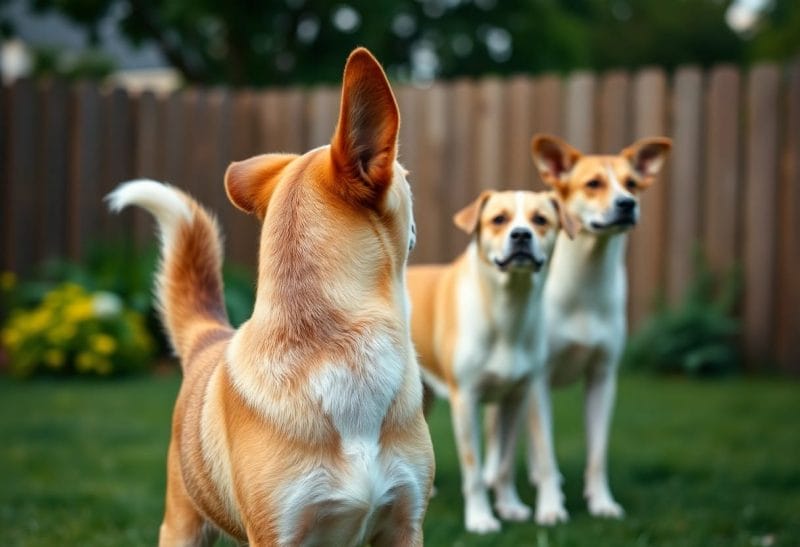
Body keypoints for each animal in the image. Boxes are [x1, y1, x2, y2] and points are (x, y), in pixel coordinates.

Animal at [106, 48, 434, 547]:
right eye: (406, 176)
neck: (340, 347)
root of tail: (209, 338)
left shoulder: (404, 524)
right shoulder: (277, 533)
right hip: (183, 524)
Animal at [410, 191, 564, 532]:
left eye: (541, 219)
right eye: (498, 219)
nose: (521, 235)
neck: (507, 310)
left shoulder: (515, 399)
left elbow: (504, 464)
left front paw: (509, 506)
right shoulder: (465, 400)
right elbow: (475, 470)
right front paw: (481, 518)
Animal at [524, 134, 668, 528]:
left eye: (632, 184)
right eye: (593, 184)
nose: (627, 204)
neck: (586, 283)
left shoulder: (603, 378)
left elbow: (597, 453)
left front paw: (602, 502)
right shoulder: (538, 379)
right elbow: (546, 451)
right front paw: (550, 507)